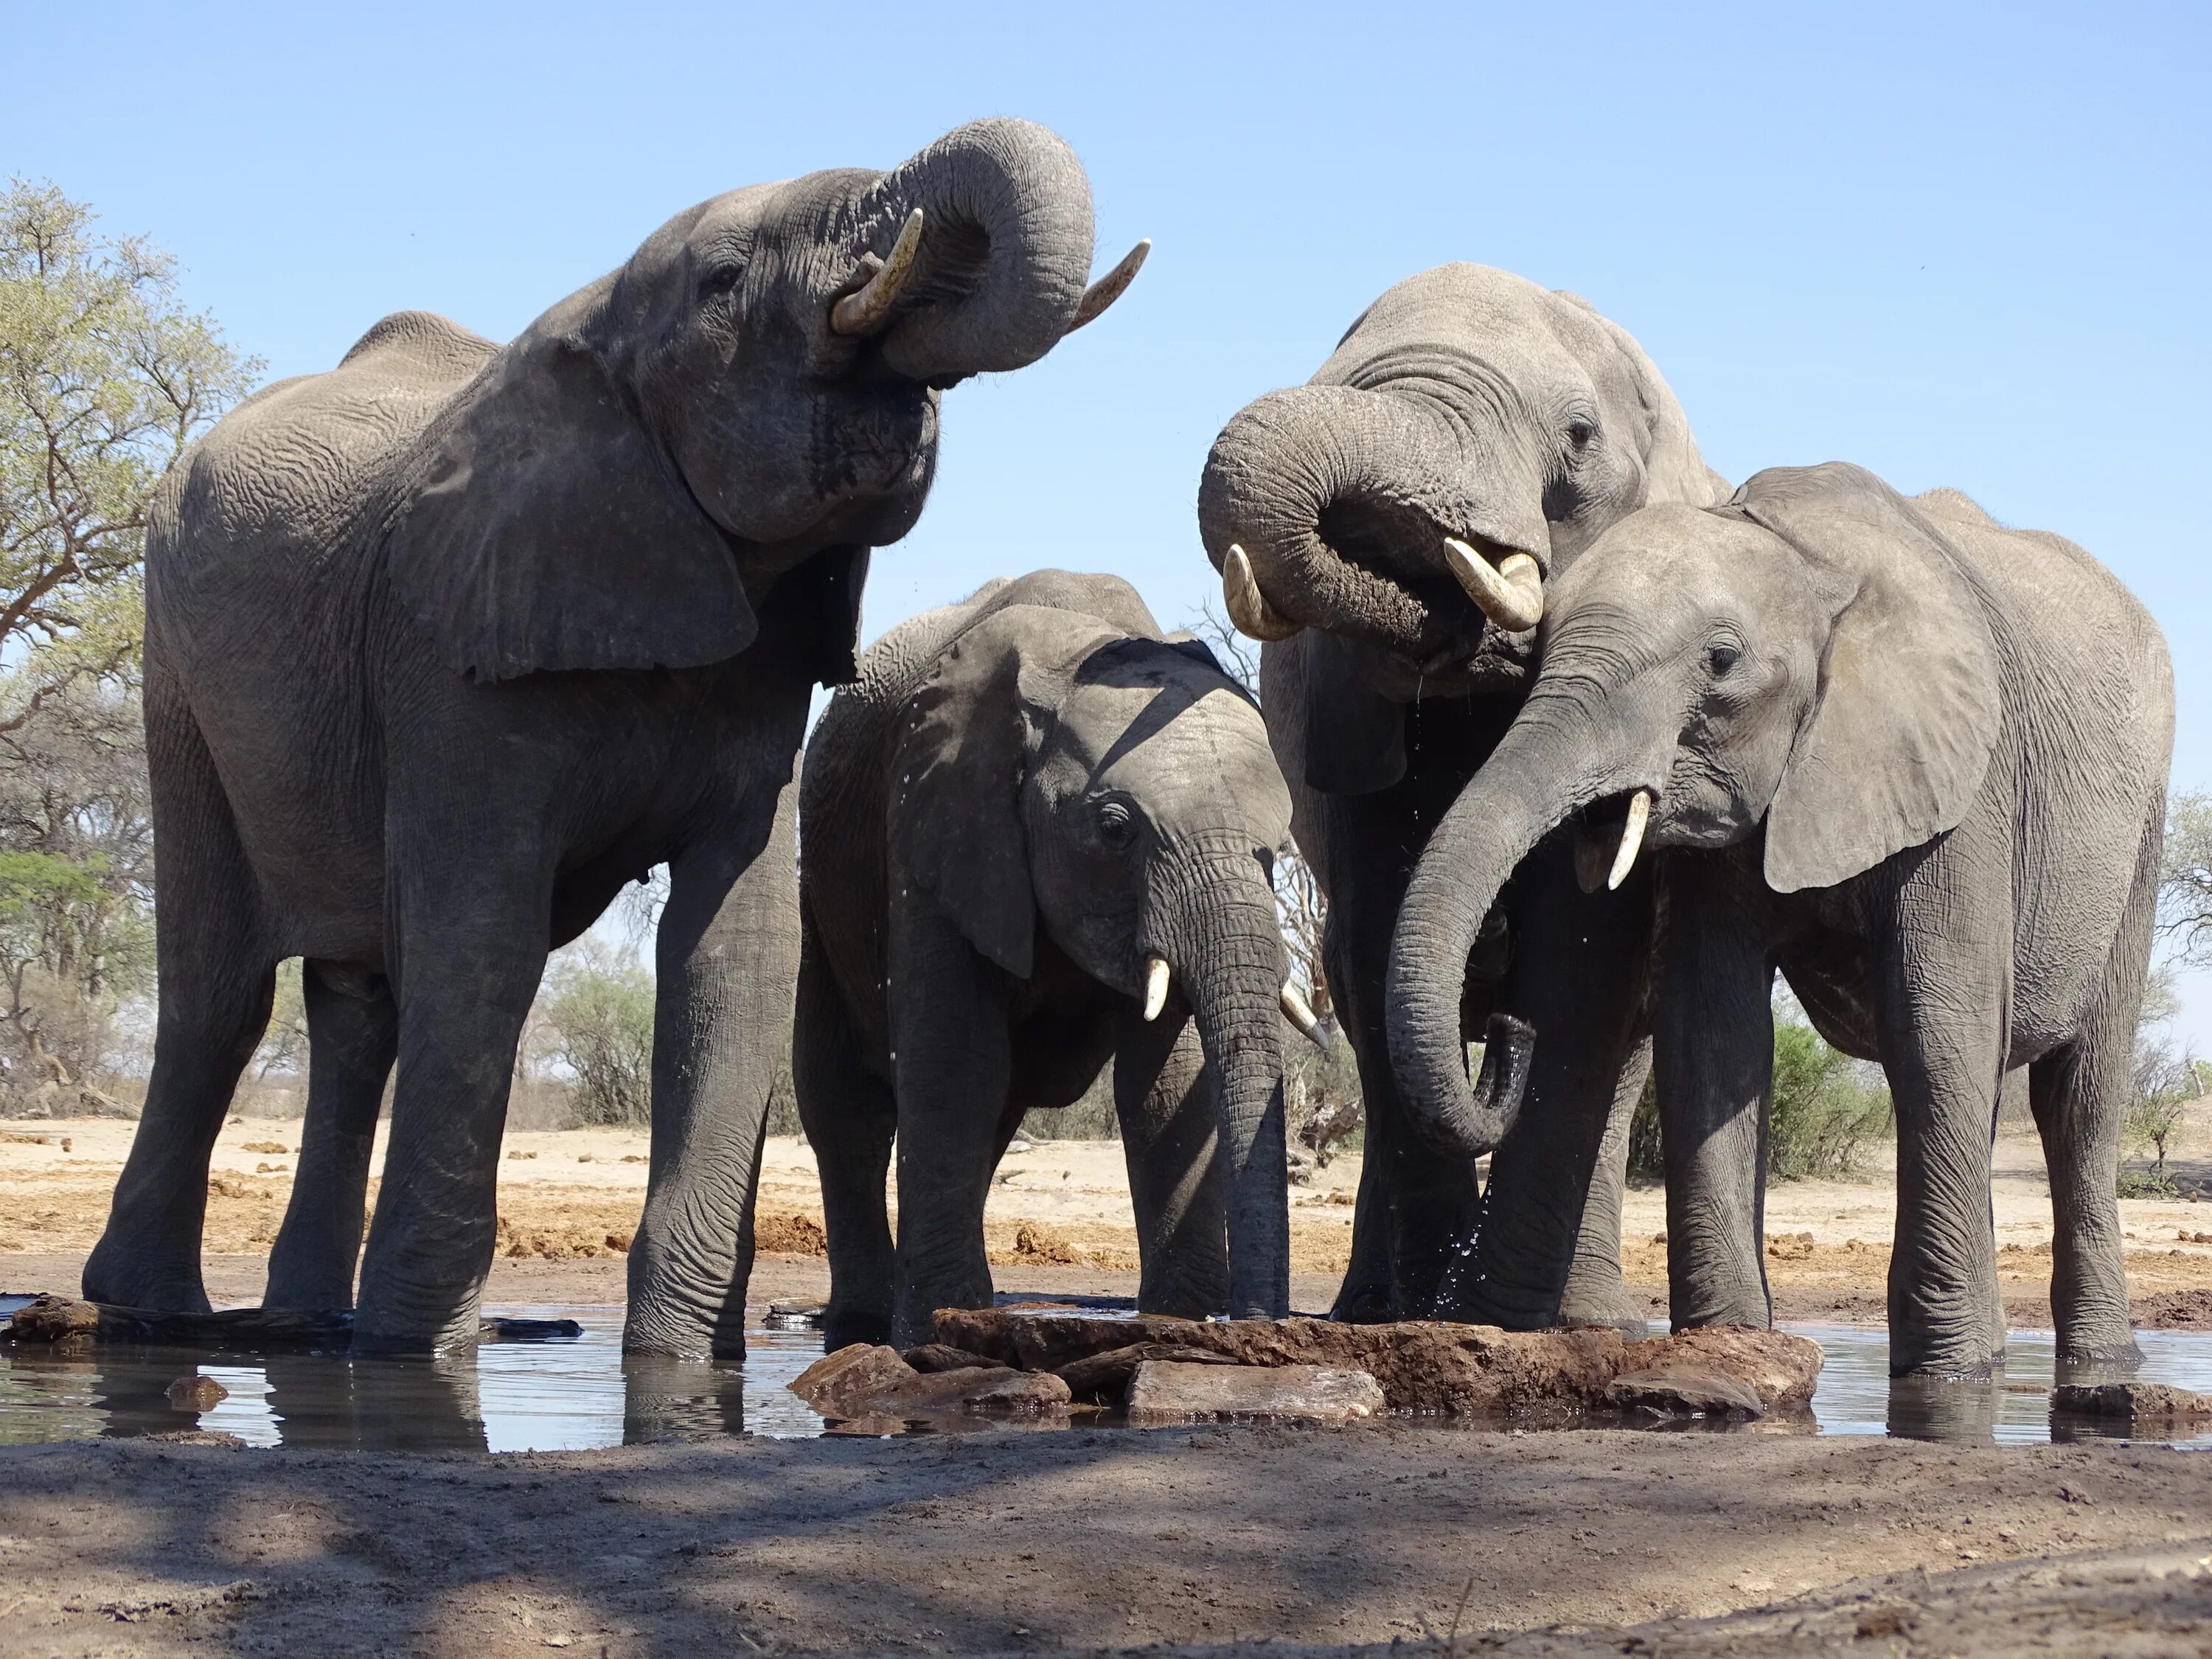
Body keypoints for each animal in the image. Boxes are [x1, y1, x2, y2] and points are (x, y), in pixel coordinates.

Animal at [77, 119, 1150, 1363]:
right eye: (727, 281)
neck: (593, 324)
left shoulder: (765, 684)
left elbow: (733, 946)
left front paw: (683, 1361)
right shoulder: (449, 649)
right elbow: (480, 941)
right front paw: (414, 1361)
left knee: (358, 1005)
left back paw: (305, 1322)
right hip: (178, 682)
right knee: (218, 996)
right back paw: (154, 1315)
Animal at [796, 571, 1310, 1354]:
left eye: (1279, 848)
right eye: (1115, 830)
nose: (1257, 1331)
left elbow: (1162, 1084)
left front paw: (1175, 1322)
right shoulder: (933, 817)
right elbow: (955, 1062)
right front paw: (937, 1329)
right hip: (823, 889)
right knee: (843, 1102)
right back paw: (862, 1324)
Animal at [1194, 266, 1725, 1336]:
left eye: (1579, 436)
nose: (1442, 607)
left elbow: (1581, 958)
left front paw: (1500, 1315)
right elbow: (1374, 939)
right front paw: (1430, 1315)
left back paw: (1590, 1319)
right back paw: (1368, 1310)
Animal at [1389, 465, 2168, 1380]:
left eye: (1721, 662)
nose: (1508, 1034)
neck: (1803, 561)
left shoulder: (1967, 785)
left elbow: (1937, 1025)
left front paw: (1952, 1373)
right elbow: (1712, 1025)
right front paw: (1732, 1341)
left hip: (2140, 839)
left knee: (2080, 1098)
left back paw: (2101, 1364)